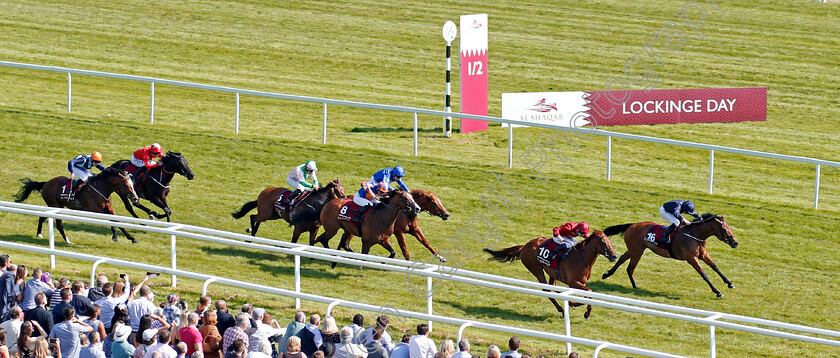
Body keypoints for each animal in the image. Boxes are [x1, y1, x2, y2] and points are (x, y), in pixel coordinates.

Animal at [12, 168, 141, 243]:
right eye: (126, 185)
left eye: (133, 184)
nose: (135, 198)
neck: (101, 188)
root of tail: (46, 183)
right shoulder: (94, 210)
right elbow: (112, 220)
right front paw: (116, 236)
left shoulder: (109, 207)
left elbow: (116, 220)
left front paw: (130, 238)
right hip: (55, 205)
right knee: (59, 225)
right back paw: (67, 240)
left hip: (55, 206)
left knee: (42, 217)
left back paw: (39, 234)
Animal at [486, 232, 616, 318]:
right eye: (604, 243)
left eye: (610, 242)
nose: (614, 256)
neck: (581, 258)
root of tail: (524, 246)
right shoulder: (574, 282)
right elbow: (589, 292)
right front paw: (585, 312)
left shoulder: (580, 282)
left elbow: (587, 295)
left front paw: (574, 304)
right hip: (536, 269)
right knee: (546, 290)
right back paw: (561, 309)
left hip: (552, 273)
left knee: (554, 287)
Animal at [604, 214, 736, 298]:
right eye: (724, 229)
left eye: (730, 227)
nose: (735, 242)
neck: (694, 235)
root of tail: (632, 225)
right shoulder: (691, 258)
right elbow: (704, 274)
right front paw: (717, 292)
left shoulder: (703, 255)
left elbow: (715, 267)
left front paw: (729, 283)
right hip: (637, 251)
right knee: (630, 268)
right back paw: (634, 286)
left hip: (634, 250)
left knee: (622, 259)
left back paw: (607, 274)